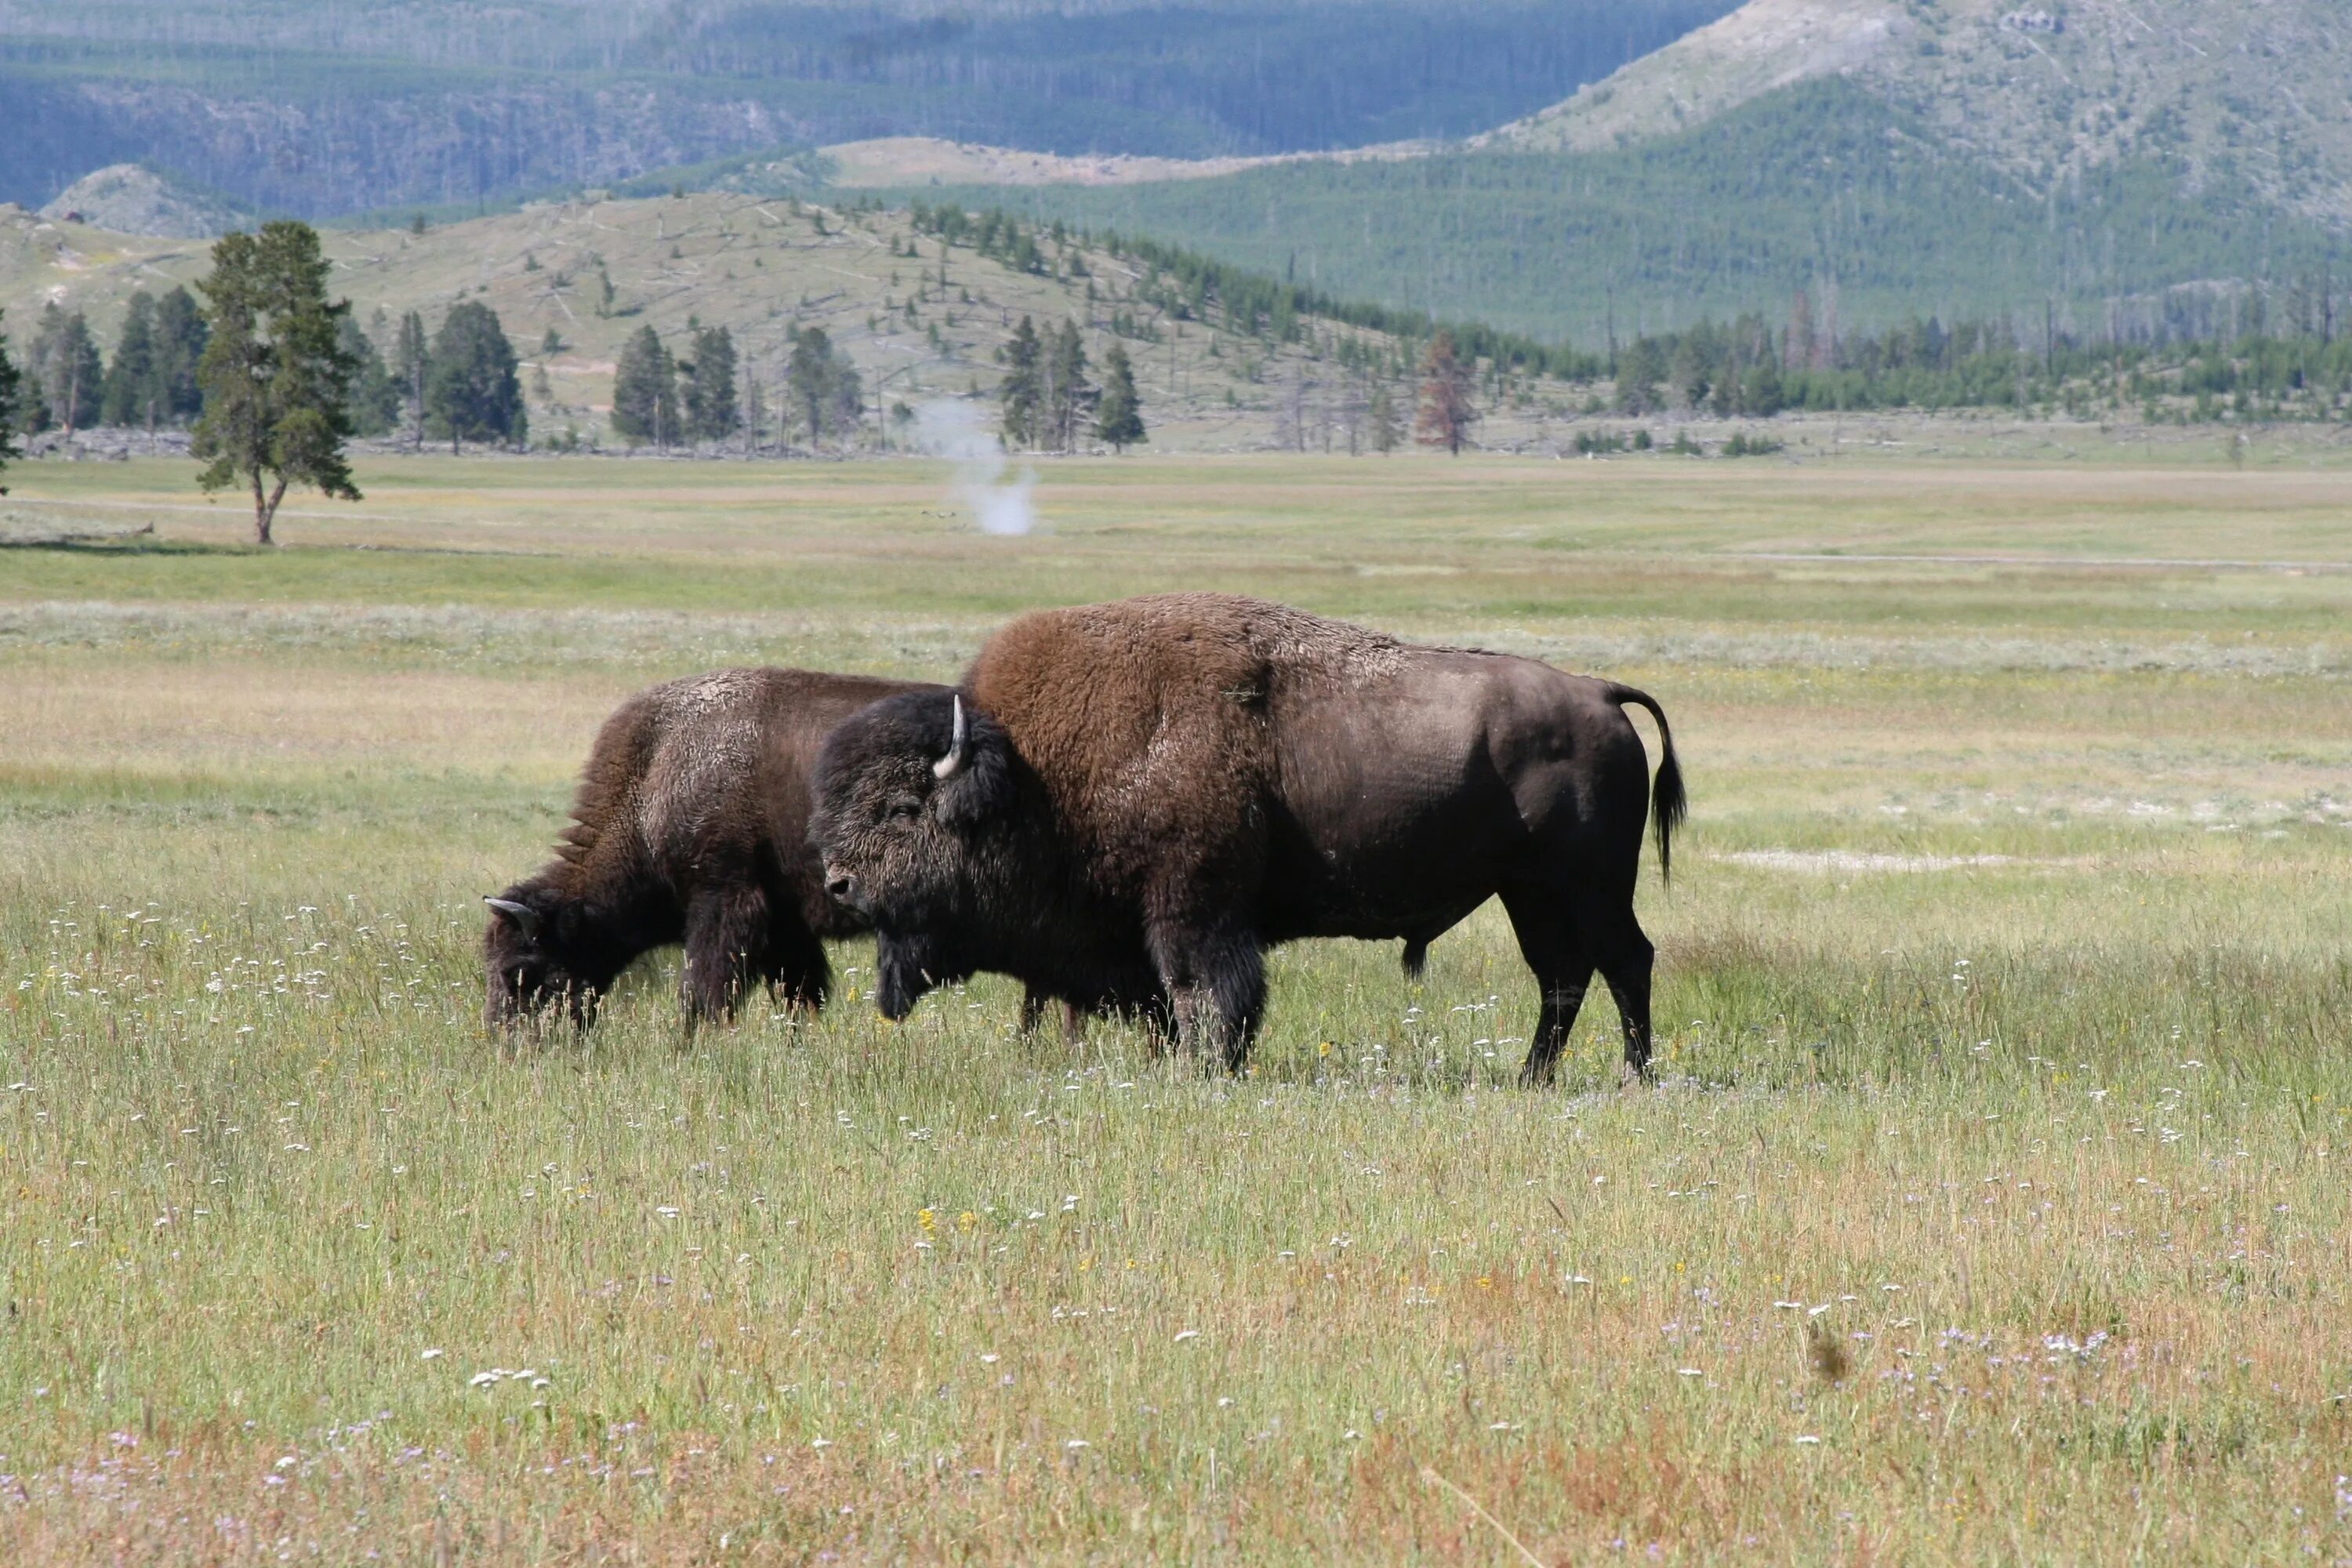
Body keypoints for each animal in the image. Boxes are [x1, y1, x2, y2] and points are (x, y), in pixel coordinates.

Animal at [818, 594, 1684, 1086]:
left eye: (903, 807)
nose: (839, 882)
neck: (1031, 775)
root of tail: (1599, 693)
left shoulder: (1192, 908)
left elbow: (1204, 993)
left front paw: (1206, 1069)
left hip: (1588, 885)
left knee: (1624, 960)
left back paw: (1634, 1075)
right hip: (1528, 891)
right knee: (1561, 974)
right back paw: (1532, 1077)